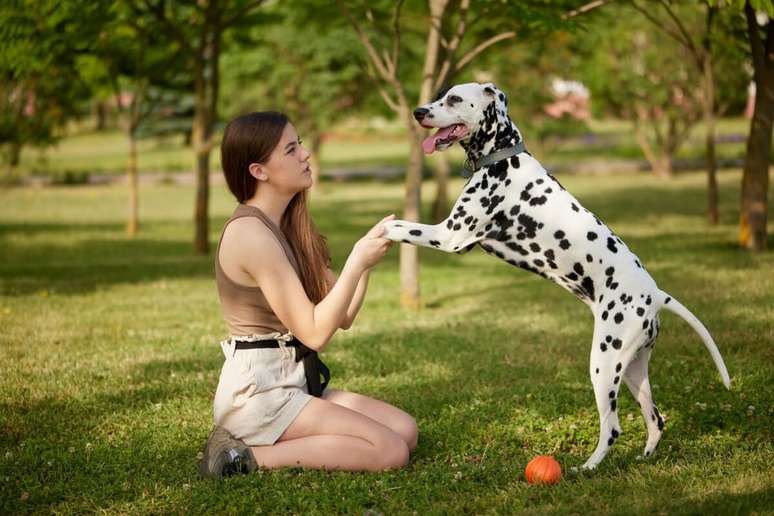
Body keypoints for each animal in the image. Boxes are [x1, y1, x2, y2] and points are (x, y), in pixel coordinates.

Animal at [384, 81, 732, 472]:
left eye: (454, 99)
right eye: (441, 95)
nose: (419, 112)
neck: (502, 157)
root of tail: (655, 294)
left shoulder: (449, 236)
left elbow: (399, 227)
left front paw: (375, 235)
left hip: (603, 365)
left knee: (612, 427)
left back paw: (588, 467)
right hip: (632, 370)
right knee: (656, 420)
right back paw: (644, 457)